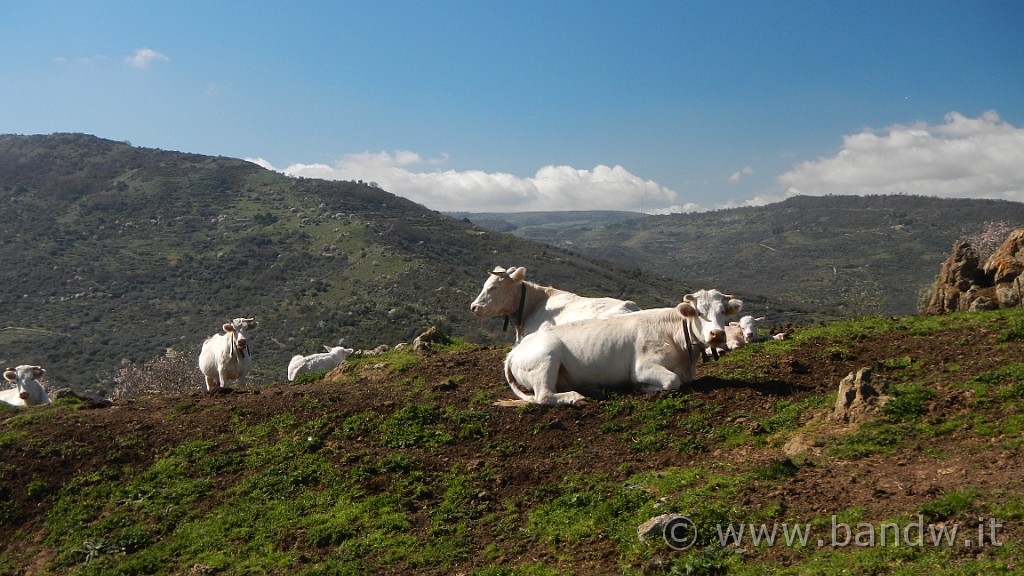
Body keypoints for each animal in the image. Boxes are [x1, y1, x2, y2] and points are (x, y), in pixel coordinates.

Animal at [499, 286, 741, 403]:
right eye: (699, 313)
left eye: (722, 312)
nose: (717, 334)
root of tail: (516, 350)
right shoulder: (643, 367)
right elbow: (673, 381)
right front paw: (642, 387)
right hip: (547, 356)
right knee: (543, 395)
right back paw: (575, 398)